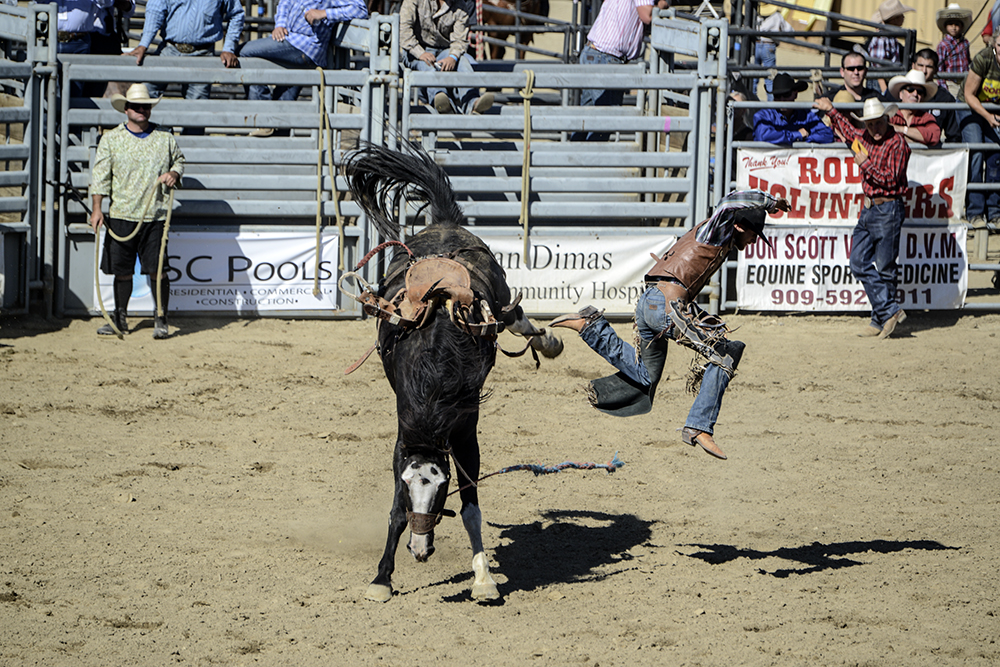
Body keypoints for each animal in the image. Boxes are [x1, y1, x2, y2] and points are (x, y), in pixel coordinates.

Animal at [344, 144, 564, 604]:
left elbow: (471, 508)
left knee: (515, 317)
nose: (419, 550)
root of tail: (445, 224)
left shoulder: (465, 433)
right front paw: (382, 577)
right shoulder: (404, 437)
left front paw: (483, 578)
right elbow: (393, 511)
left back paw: (548, 340)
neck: (435, 374)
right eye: (410, 487)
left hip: (501, 300)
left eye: (440, 487)